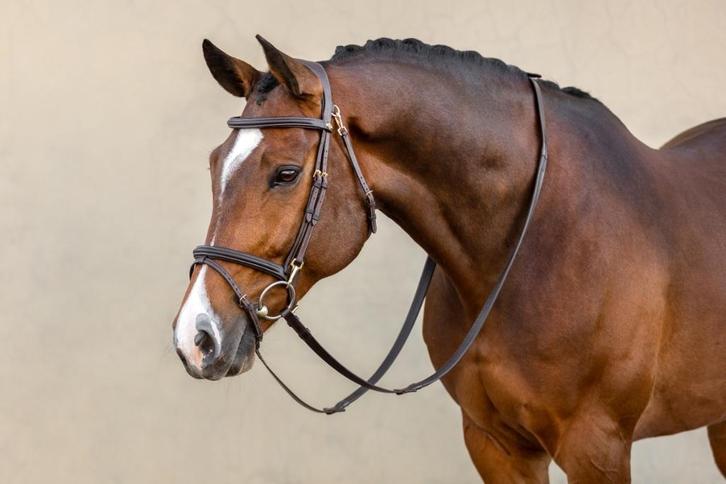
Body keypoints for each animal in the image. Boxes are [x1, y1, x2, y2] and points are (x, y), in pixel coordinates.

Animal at [172, 36, 726, 483]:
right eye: (214, 163)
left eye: (285, 174)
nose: (195, 337)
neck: (538, 245)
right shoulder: (494, 442)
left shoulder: (597, 447)